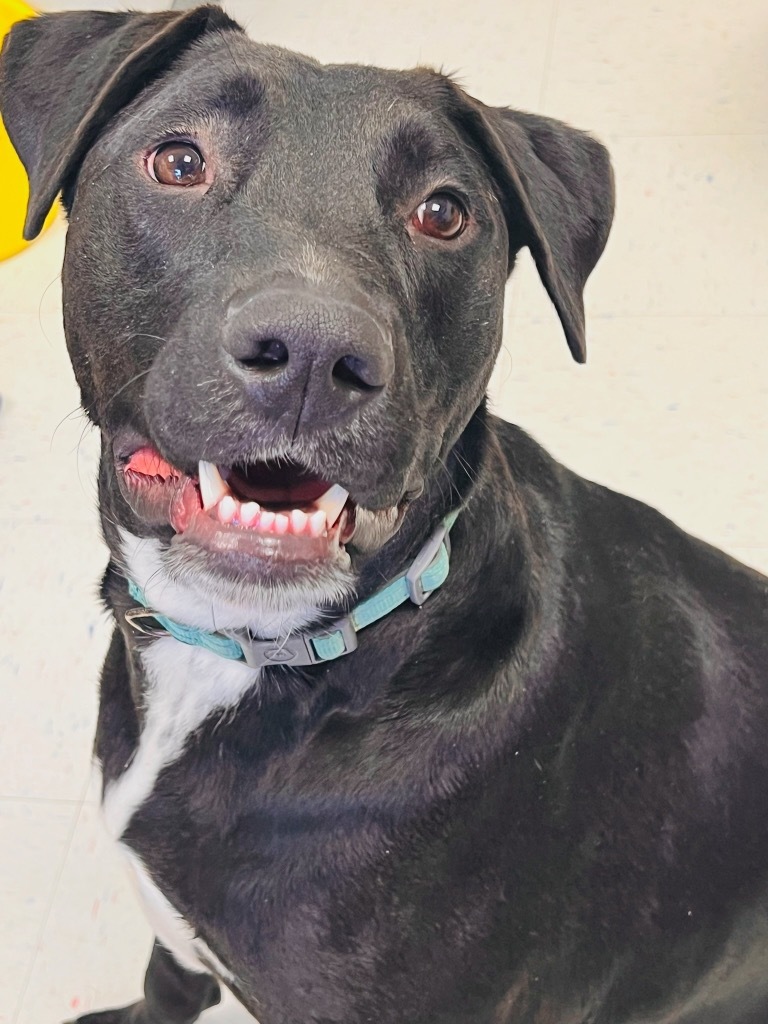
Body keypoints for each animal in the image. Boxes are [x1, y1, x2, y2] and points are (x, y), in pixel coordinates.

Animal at [3, 8, 765, 1024]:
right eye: (178, 160)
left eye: (444, 213)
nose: (311, 355)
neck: (255, 654)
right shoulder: (178, 927)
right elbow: (166, 979)